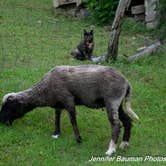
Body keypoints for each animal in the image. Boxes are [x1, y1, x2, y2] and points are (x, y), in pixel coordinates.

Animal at [0, 64, 139, 156]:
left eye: (8, 107)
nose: (2, 122)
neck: (44, 90)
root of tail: (126, 82)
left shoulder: (68, 100)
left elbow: (73, 120)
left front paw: (78, 139)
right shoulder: (58, 104)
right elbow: (56, 118)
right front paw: (56, 134)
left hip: (112, 100)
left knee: (116, 124)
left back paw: (111, 150)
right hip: (118, 104)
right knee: (127, 121)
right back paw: (124, 144)